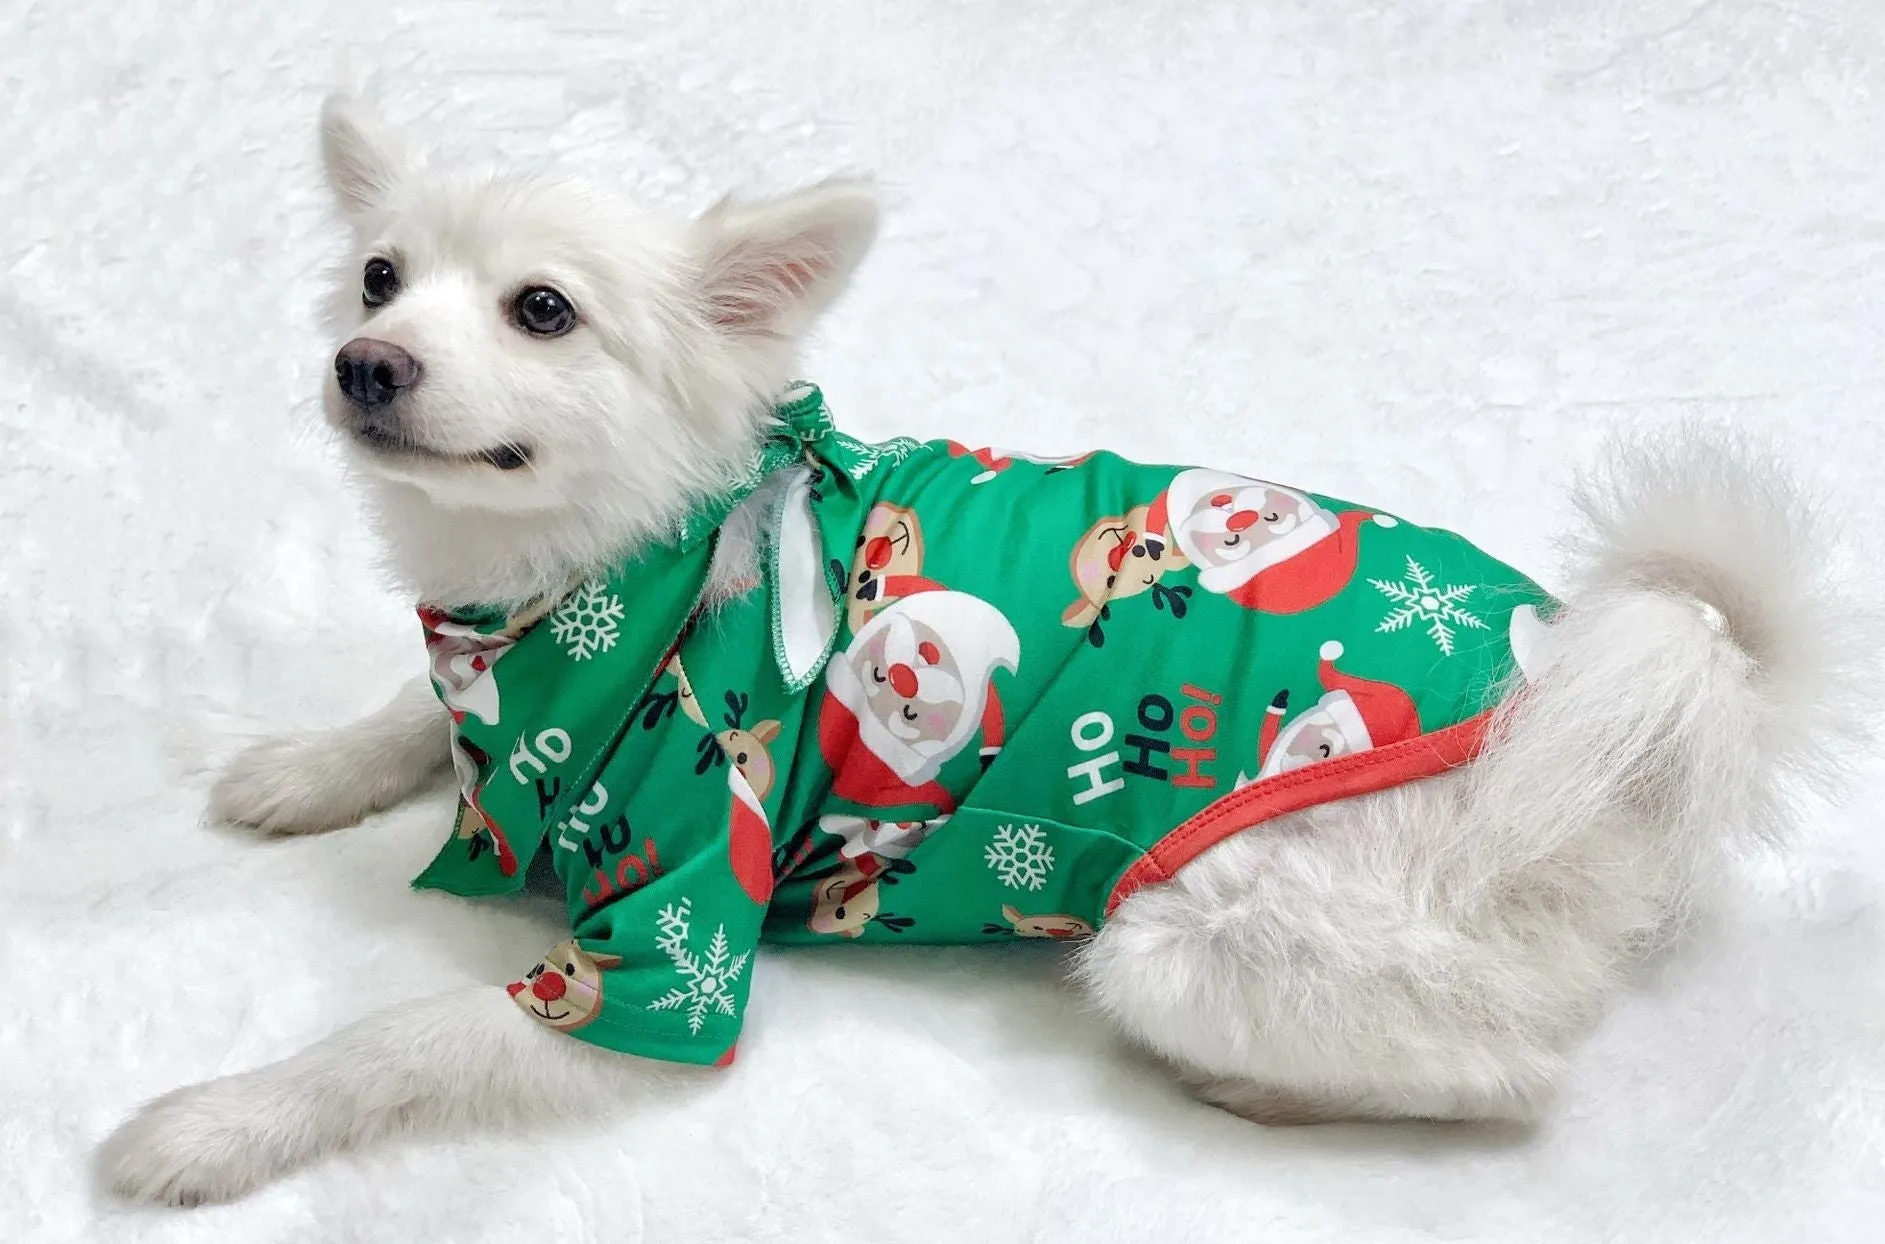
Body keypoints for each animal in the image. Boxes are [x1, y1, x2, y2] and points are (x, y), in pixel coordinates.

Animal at [99, 97, 1869, 1206]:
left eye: (543, 312)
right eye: (380, 279)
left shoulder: (665, 958)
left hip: (1188, 941)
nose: (364, 363)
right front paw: (301, 767)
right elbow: (410, 715)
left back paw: (1268, 1095)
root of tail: (1637, 707)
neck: (599, 575)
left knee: (1508, 1081)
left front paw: (210, 1122)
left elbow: (398, 1041)